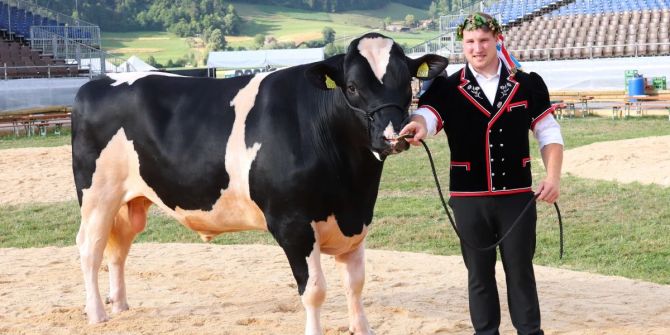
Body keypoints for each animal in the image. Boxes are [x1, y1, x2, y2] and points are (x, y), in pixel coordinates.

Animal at [72, 32, 452, 335]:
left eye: (407, 82)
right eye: (352, 87)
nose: (394, 136)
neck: (351, 185)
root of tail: (97, 83)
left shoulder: (356, 221)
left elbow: (355, 285)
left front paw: (362, 329)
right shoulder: (292, 225)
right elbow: (314, 290)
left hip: (131, 200)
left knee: (119, 248)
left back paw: (120, 305)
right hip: (97, 196)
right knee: (90, 249)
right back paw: (97, 313)